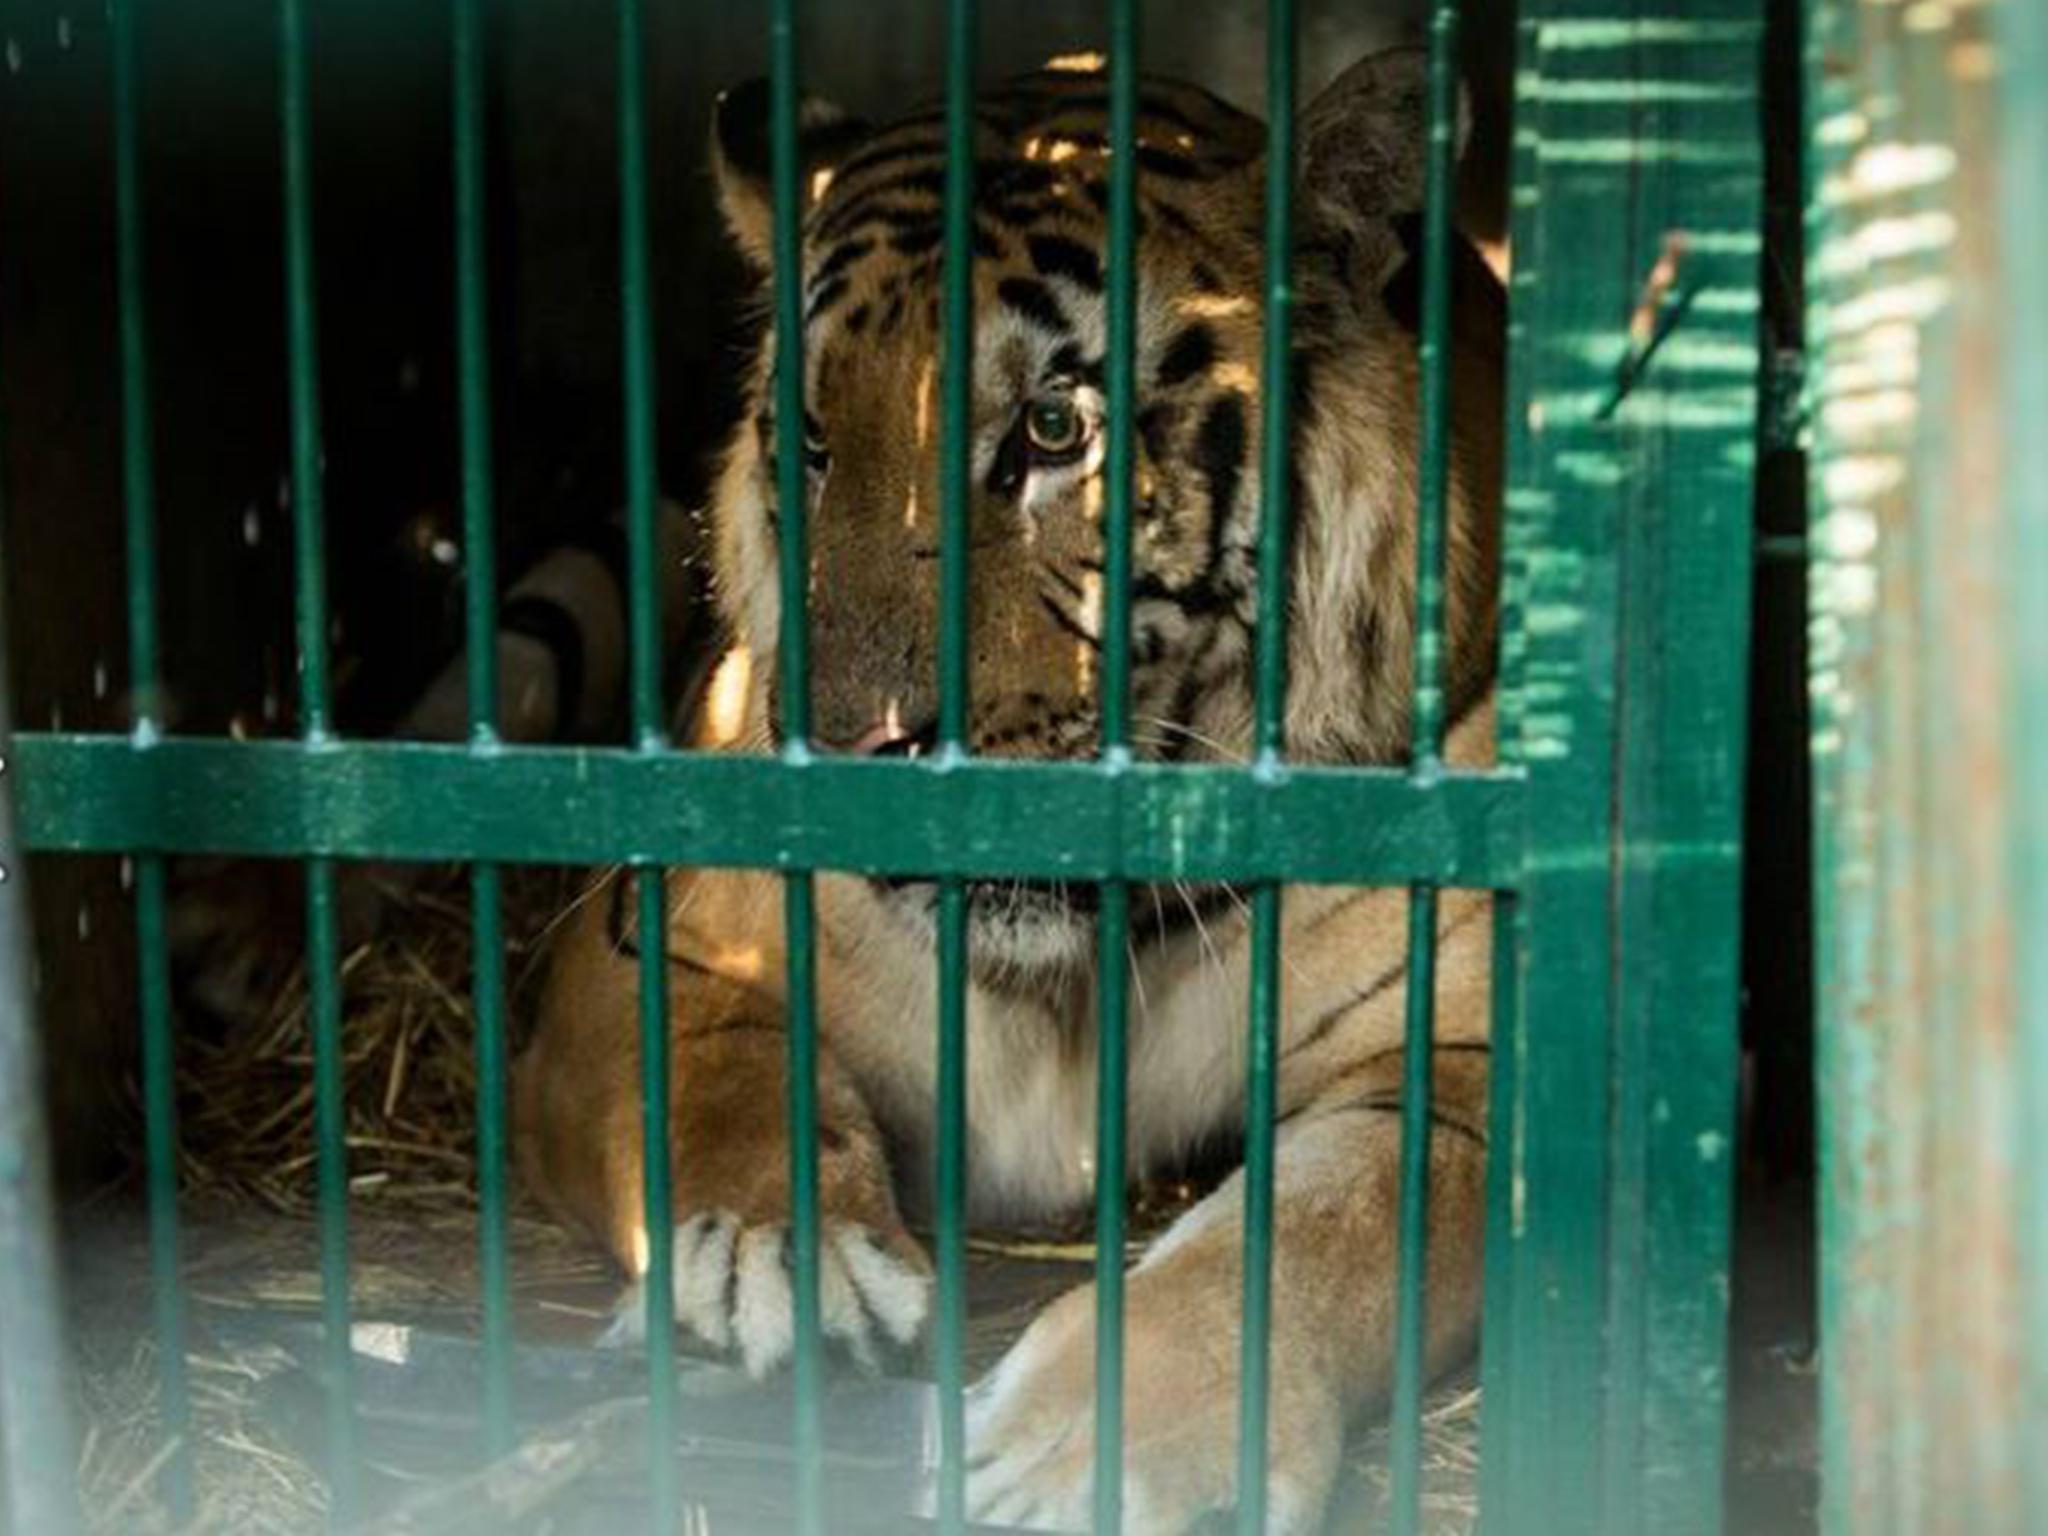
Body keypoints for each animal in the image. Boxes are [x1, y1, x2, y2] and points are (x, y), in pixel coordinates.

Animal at [512, 48, 1507, 1536]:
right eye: (810, 445)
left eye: (1052, 431)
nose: (848, 750)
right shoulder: (636, 952)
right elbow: (720, 1074)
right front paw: (764, 1264)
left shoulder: (1476, 1058)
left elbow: (1326, 1218)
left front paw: (1101, 1448)